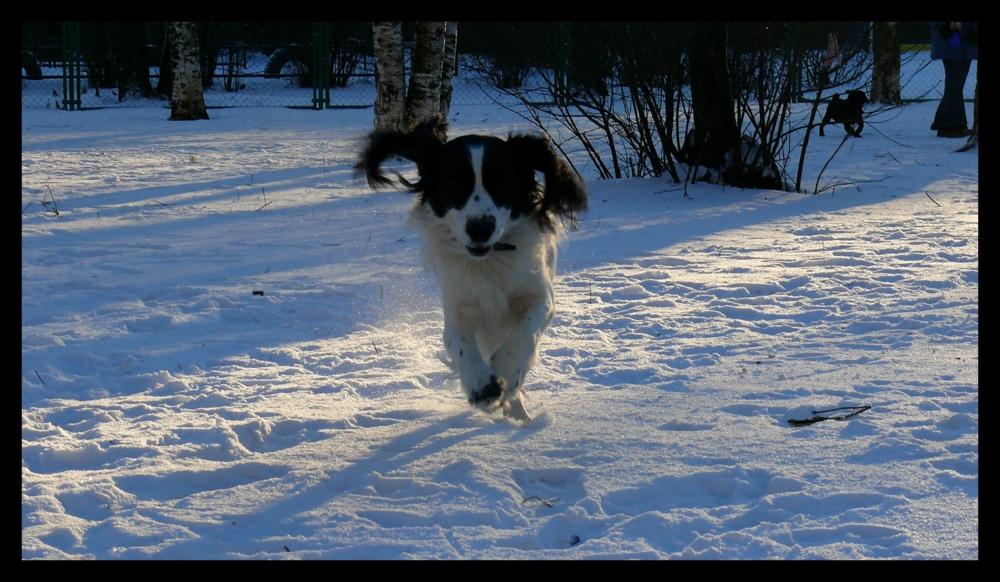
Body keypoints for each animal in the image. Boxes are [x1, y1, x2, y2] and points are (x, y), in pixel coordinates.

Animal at [358, 115, 584, 424]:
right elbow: (460, 342)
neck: (487, 263)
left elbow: (525, 332)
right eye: (455, 182)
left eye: (502, 183)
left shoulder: (539, 293)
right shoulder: (457, 306)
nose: (480, 228)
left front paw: (506, 370)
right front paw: (482, 386)